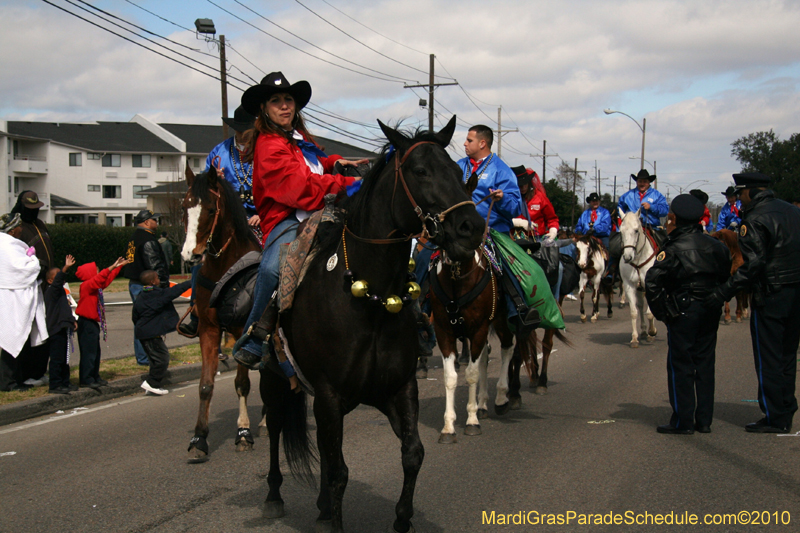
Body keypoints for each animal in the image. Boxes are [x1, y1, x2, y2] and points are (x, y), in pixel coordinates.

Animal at [180, 165, 260, 462]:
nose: (189, 254)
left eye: (211, 209)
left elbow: (242, 383)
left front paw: (244, 433)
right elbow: (205, 385)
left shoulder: (242, 331)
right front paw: (199, 439)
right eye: (185, 207)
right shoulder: (209, 329)